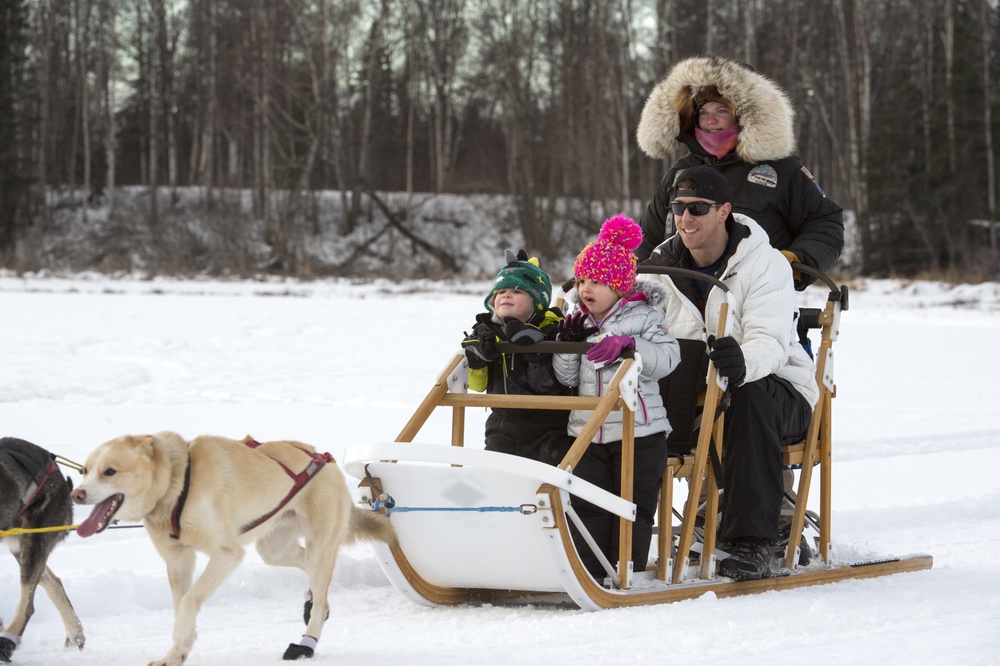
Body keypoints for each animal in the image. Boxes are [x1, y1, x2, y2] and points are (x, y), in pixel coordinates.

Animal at [70, 430, 394, 664]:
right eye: (85, 470)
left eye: (110, 471)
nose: (76, 493)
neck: (177, 483)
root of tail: (324, 458)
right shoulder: (178, 561)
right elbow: (180, 606)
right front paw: (177, 651)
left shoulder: (226, 554)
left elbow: (189, 601)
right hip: (275, 549)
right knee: (314, 579)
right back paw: (313, 601)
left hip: (316, 545)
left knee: (320, 583)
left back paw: (306, 643)